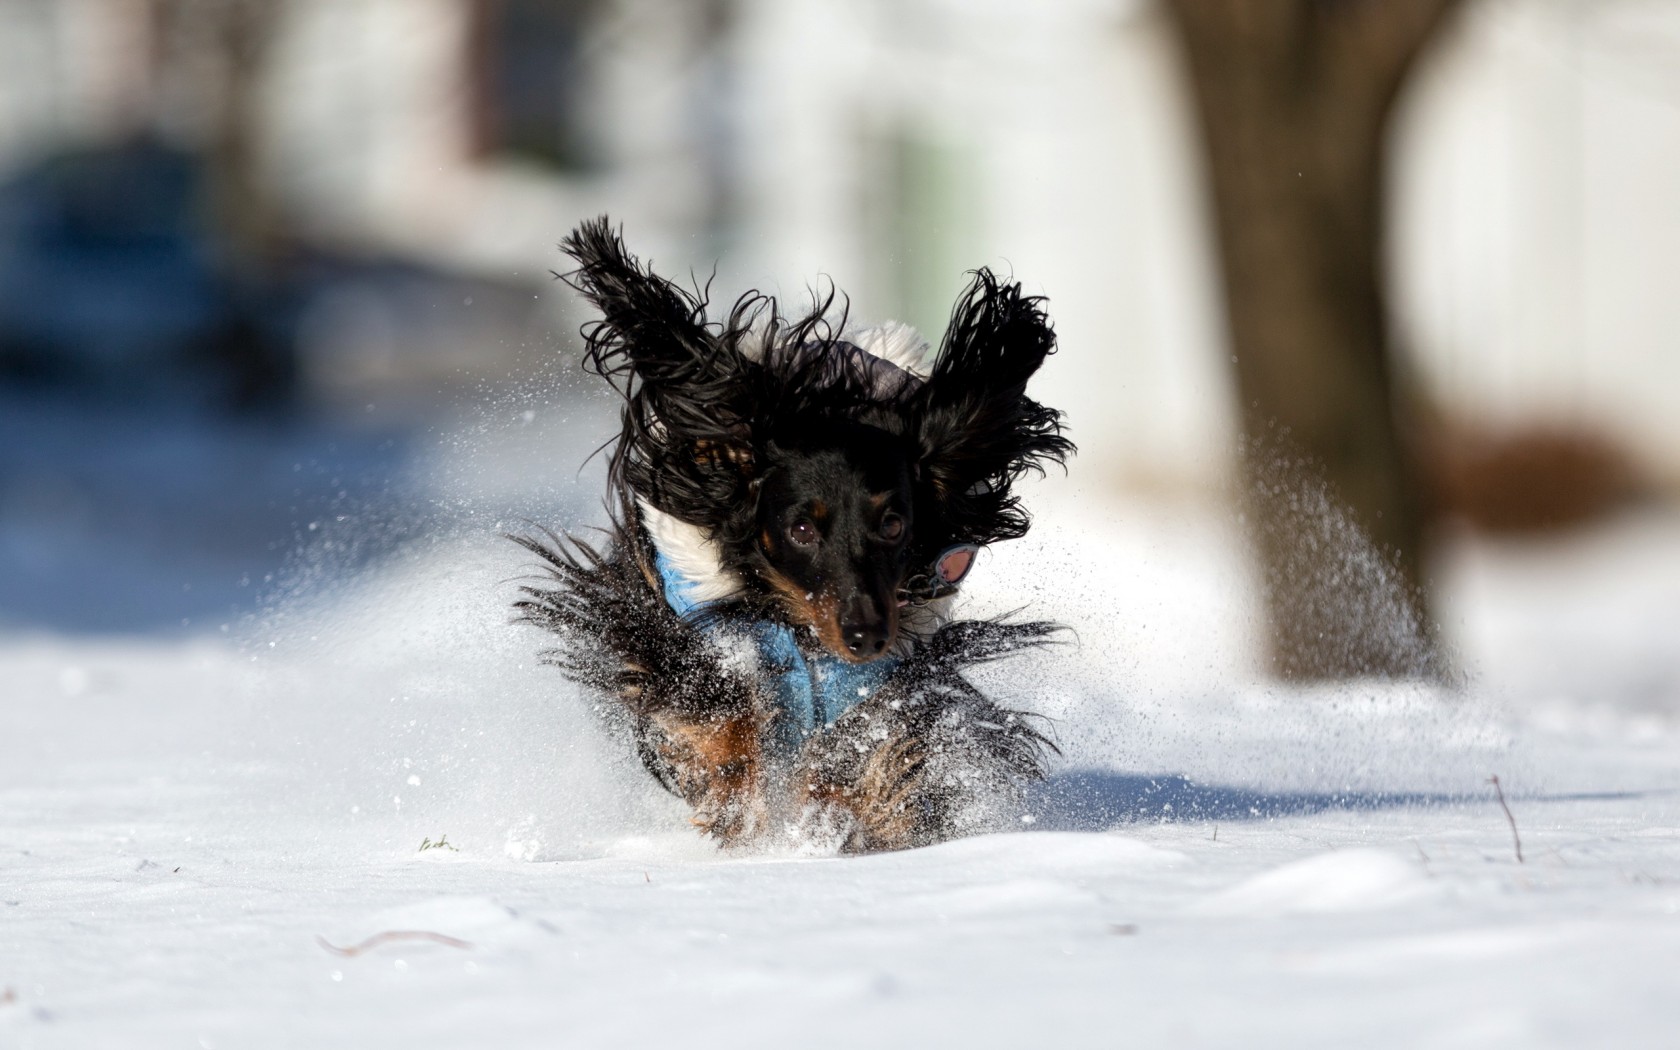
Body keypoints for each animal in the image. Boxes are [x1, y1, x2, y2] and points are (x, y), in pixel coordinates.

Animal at [507, 215, 1075, 853]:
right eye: (801, 528)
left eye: (893, 524)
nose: (865, 636)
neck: (802, 630)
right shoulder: (672, 630)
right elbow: (712, 707)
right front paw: (738, 800)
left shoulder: (894, 670)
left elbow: (884, 740)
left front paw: (855, 811)